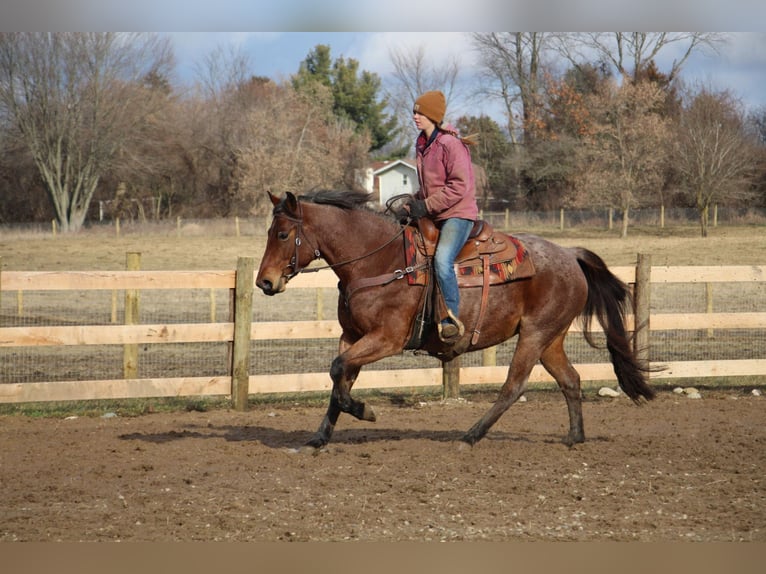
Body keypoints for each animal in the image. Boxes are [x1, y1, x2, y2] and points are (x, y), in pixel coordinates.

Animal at [256, 191, 656, 452]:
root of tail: (570, 255)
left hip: (534, 335)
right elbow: (339, 378)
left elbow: (338, 371)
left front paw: (365, 411)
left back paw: (470, 436)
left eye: (282, 234)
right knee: (571, 380)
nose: (265, 282)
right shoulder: (351, 336)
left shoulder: (386, 338)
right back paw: (574, 437)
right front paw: (319, 438)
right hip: (550, 339)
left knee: (513, 386)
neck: (380, 261)